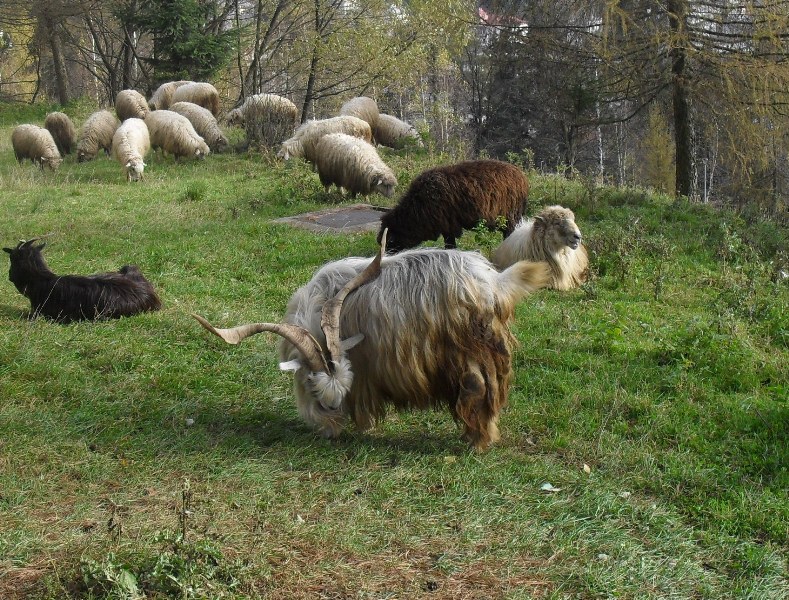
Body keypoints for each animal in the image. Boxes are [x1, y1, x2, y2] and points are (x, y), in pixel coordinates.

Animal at [193, 232, 548, 448]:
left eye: (324, 396)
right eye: (316, 391)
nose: (331, 433)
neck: (319, 306)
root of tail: (494, 282)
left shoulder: (366, 367)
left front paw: (363, 426)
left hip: (471, 352)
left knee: (478, 390)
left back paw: (476, 441)